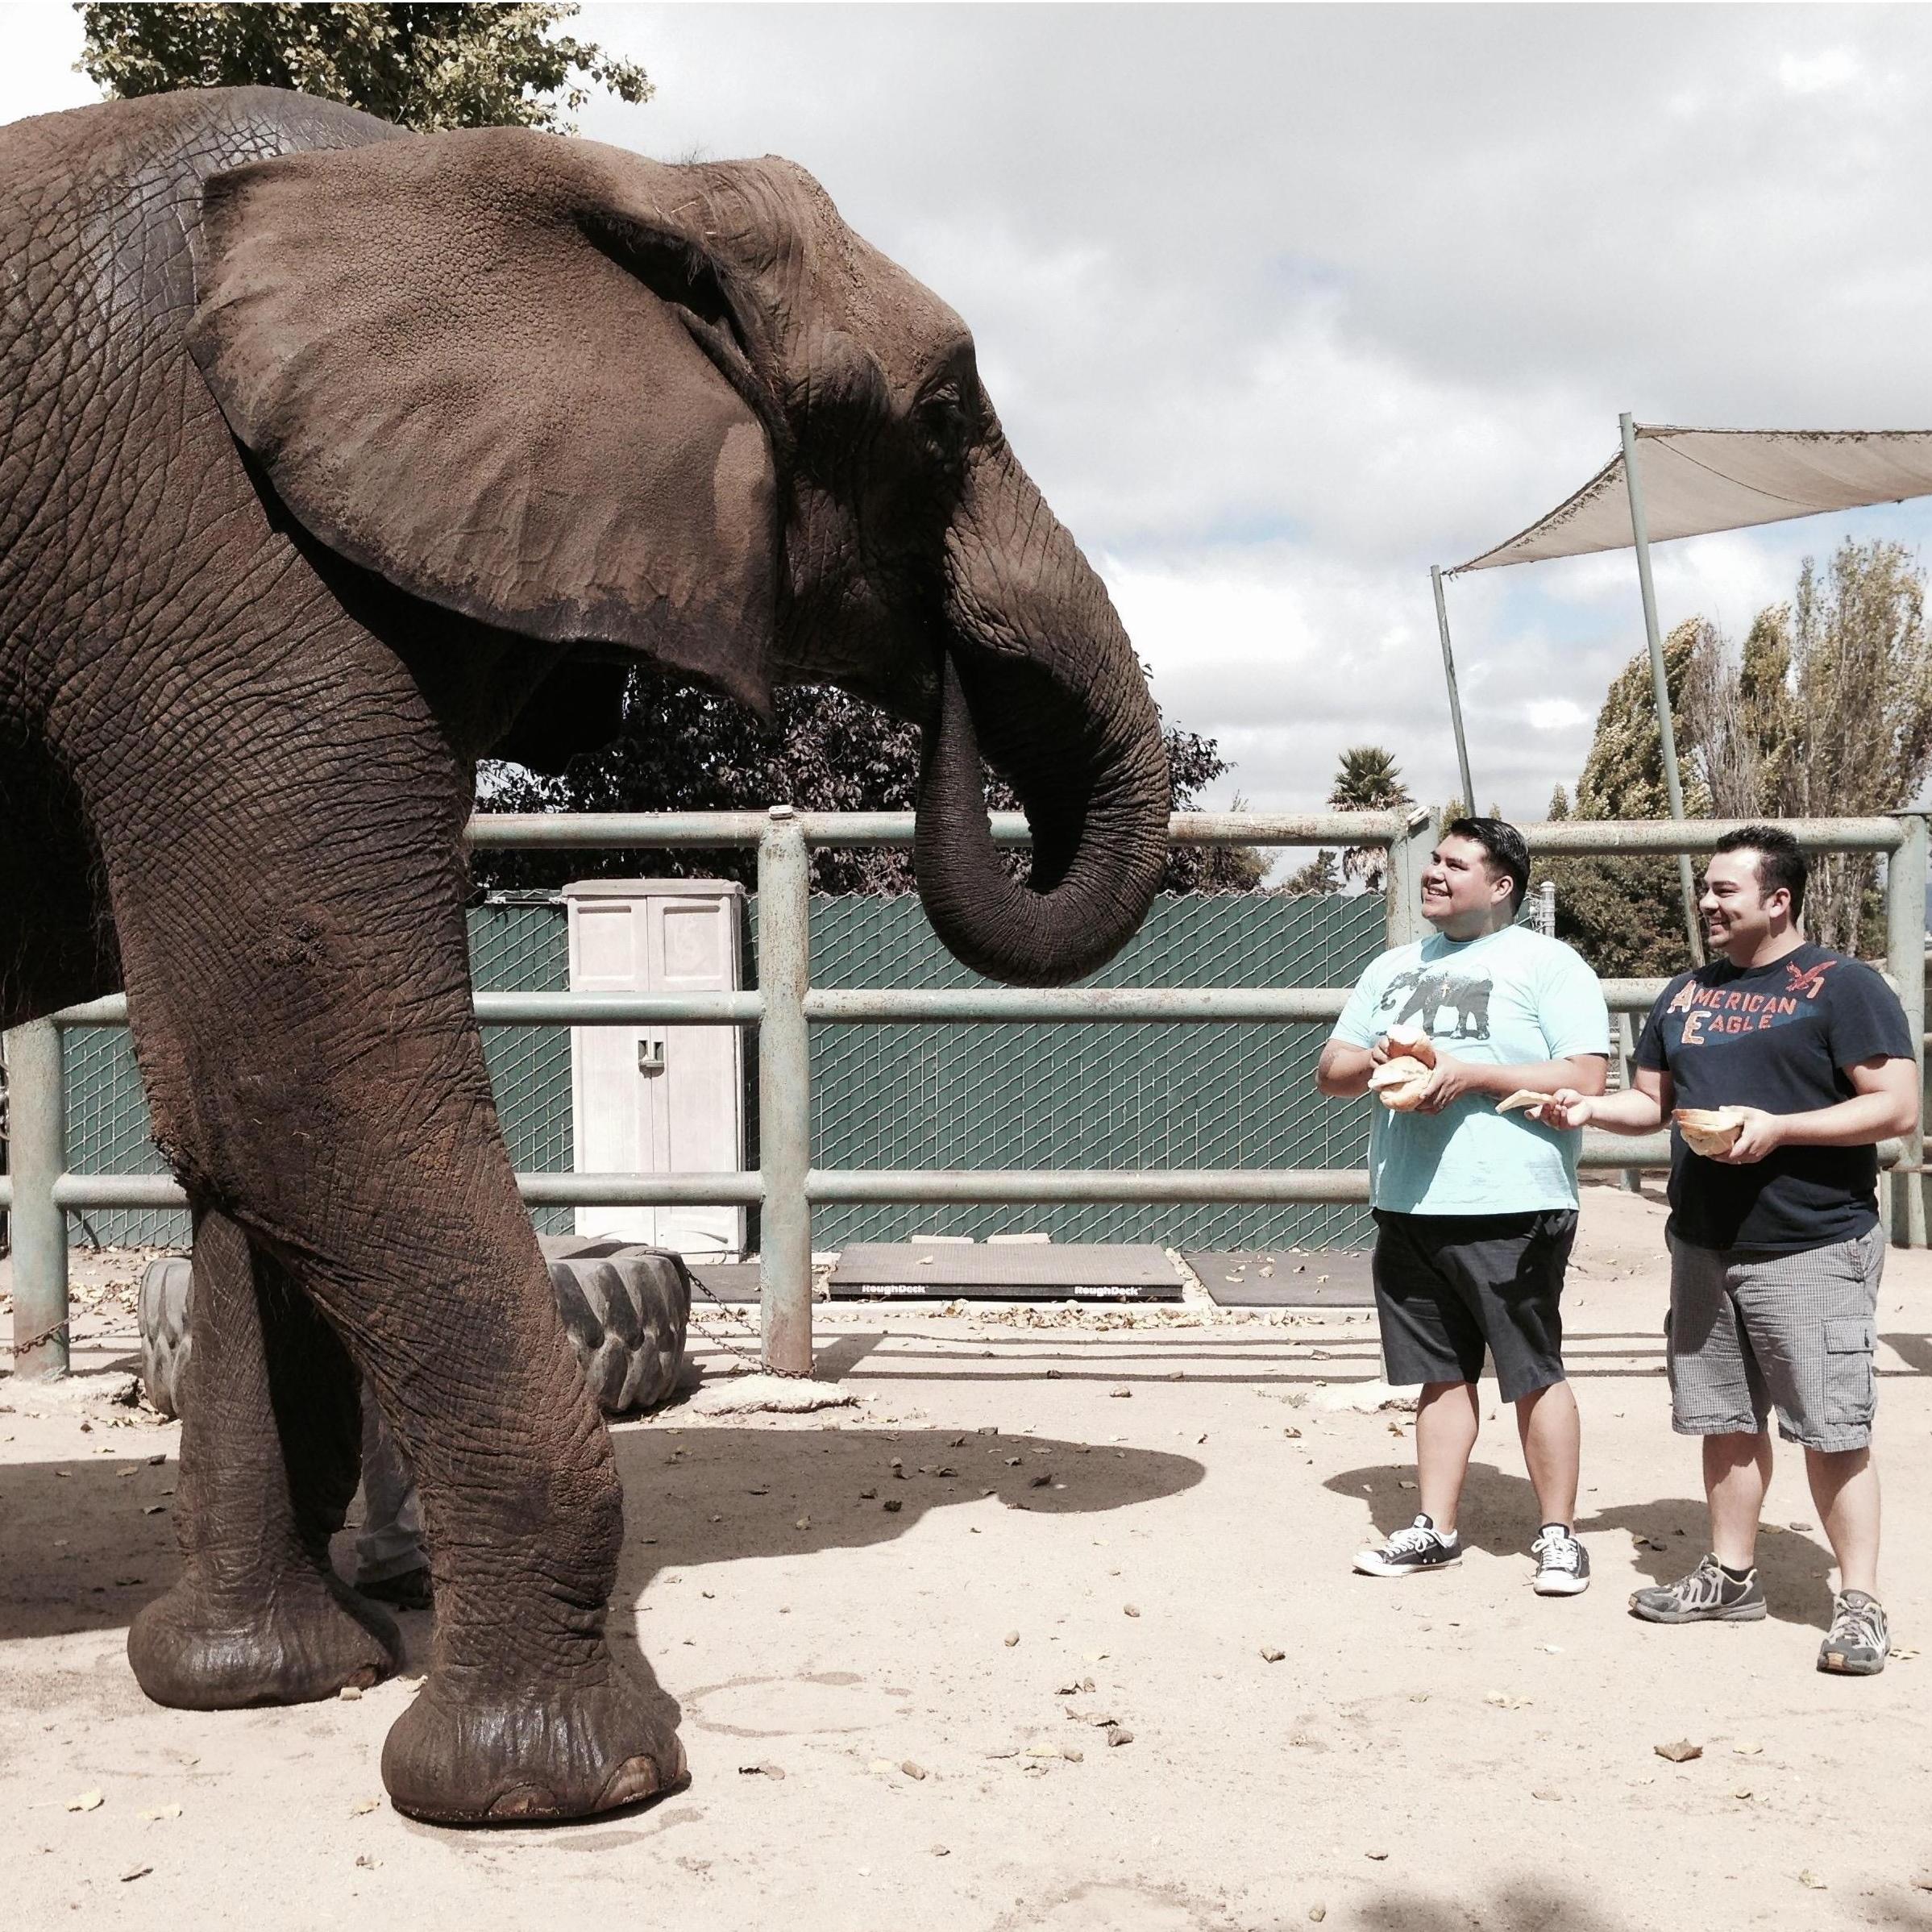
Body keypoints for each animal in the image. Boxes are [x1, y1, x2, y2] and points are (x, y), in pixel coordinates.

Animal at [0, 90, 1166, 1823]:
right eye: (944, 417)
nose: (946, 680)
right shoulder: (210, 537)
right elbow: (297, 1073)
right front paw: (547, 1789)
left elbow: (237, 1120)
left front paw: (258, 1682)